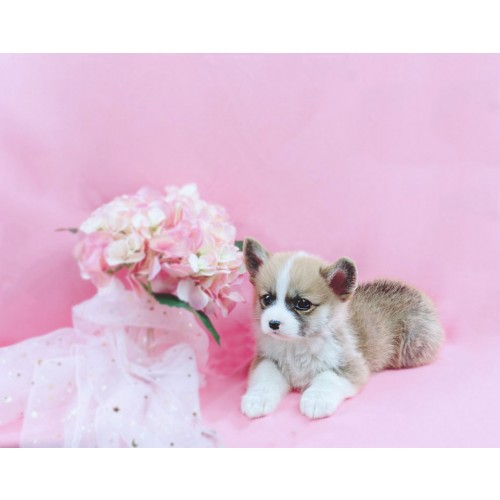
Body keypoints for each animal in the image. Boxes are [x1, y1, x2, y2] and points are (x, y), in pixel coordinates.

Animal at [241, 238, 444, 419]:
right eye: (267, 299)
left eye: (302, 304)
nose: (273, 323)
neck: (298, 344)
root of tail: (416, 292)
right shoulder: (267, 359)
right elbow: (265, 379)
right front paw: (257, 399)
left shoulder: (351, 366)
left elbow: (327, 378)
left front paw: (316, 400)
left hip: (412, 349)